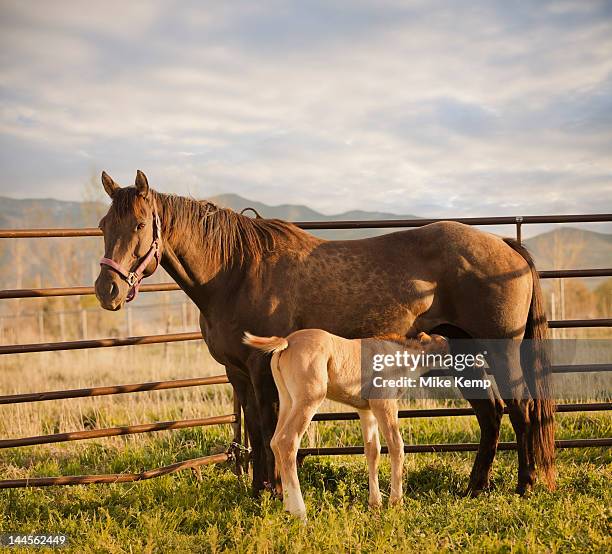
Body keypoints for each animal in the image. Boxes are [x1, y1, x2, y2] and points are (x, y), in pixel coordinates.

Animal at [244, 328, 450, 516]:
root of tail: (287, 342)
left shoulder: (366, 410)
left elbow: (372, 450)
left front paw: (375, 504)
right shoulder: (384, 403)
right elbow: (396, 445)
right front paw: (396, 503)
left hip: (287, 401)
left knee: (274, 442)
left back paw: (287, 507)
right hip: (309, 400)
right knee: (287, 441)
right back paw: (299, 513)